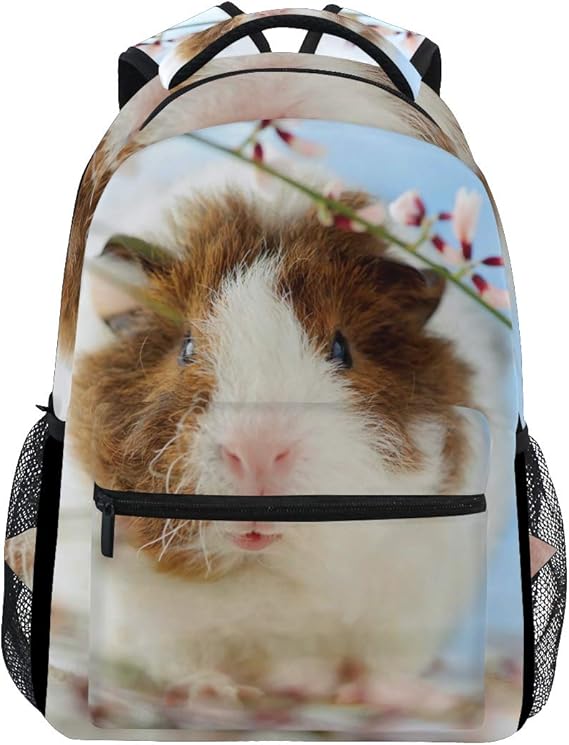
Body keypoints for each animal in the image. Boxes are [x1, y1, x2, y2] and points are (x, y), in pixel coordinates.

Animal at [70, 185, 499, 708]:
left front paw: (388, 696)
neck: (269, 567)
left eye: (342, 349)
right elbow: (180, 660)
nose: (257, 452)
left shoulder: (419, 592)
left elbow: (382, 663)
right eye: (186, 347)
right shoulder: (144, 613)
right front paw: (221, 694)